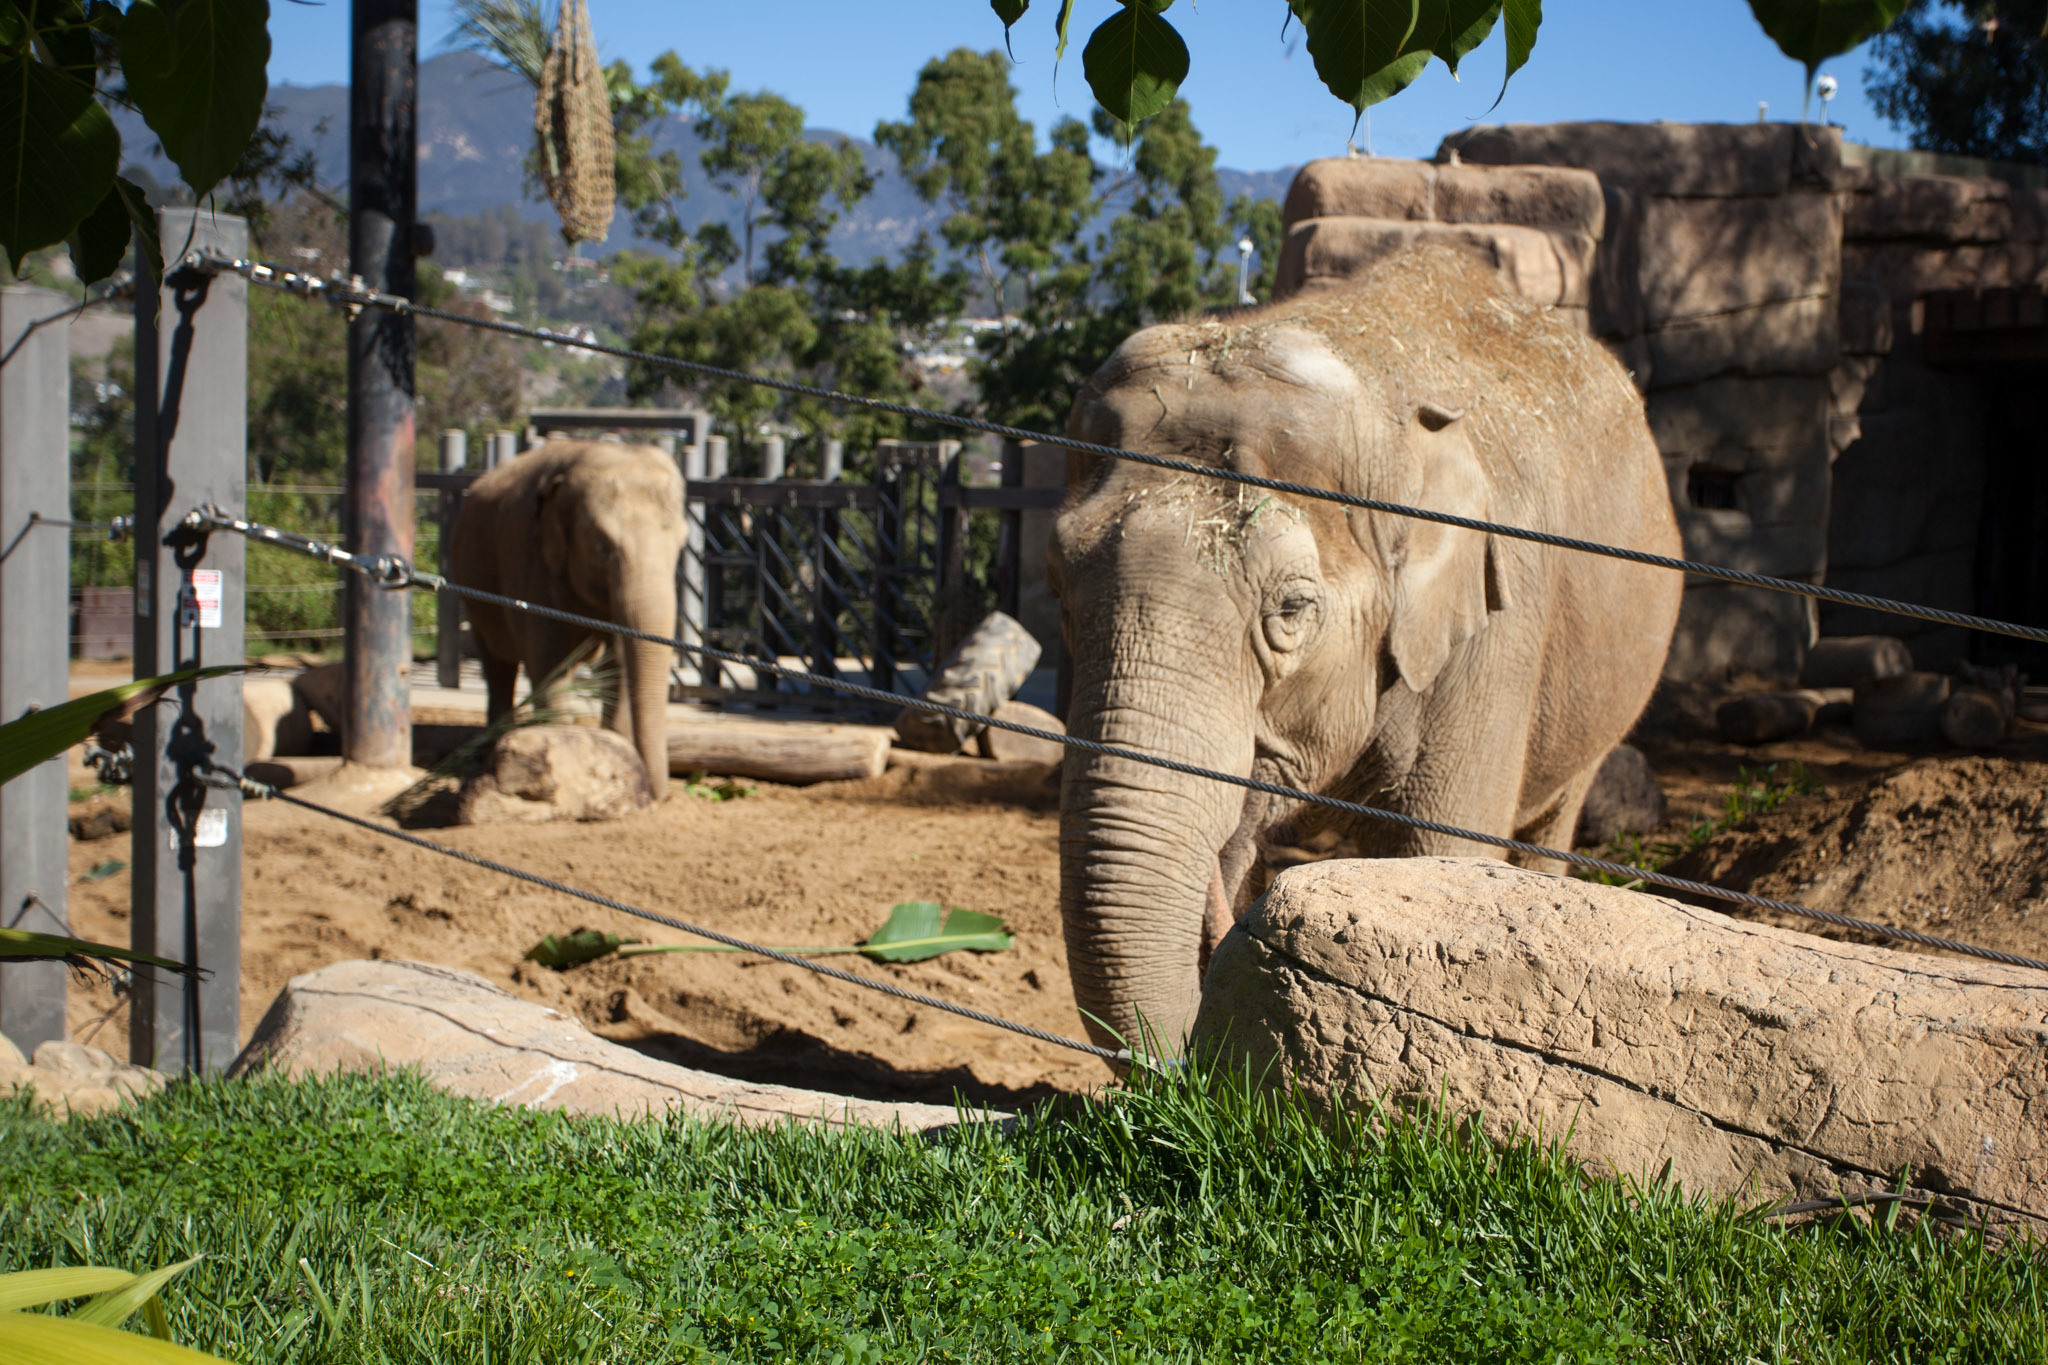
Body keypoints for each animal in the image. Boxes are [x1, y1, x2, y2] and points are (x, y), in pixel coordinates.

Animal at [450, 444, 688, 794]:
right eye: (601, 546)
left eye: (682, 544)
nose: (657, 794)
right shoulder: (529, 562)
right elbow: (549, 665)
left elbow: (618, 664)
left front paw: (617, 756)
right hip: (475, 596)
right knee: (498, 664)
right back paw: (489, 750)